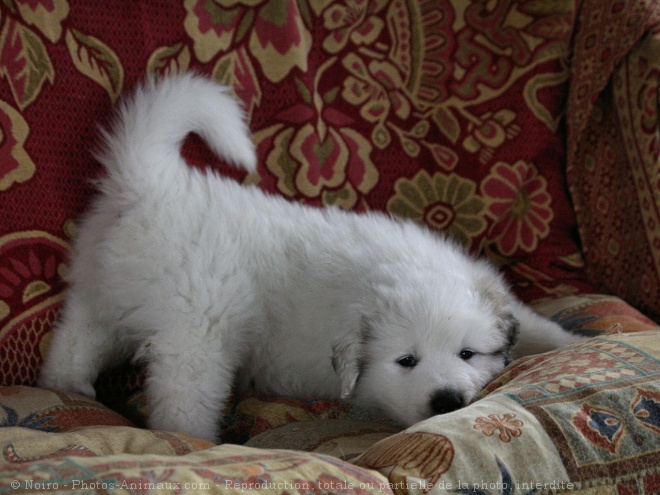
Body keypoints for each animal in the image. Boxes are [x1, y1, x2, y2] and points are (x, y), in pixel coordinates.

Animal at [38, 72, 580, 442]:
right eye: (406, 360)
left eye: (468, 353)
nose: (447, 399)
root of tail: (147, 182)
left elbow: (538, 327)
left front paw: (575, 342)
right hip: (196, 329)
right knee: (181, 396)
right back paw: (194, 441)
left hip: (99, 292)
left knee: (74, 339)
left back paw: (69, 385)